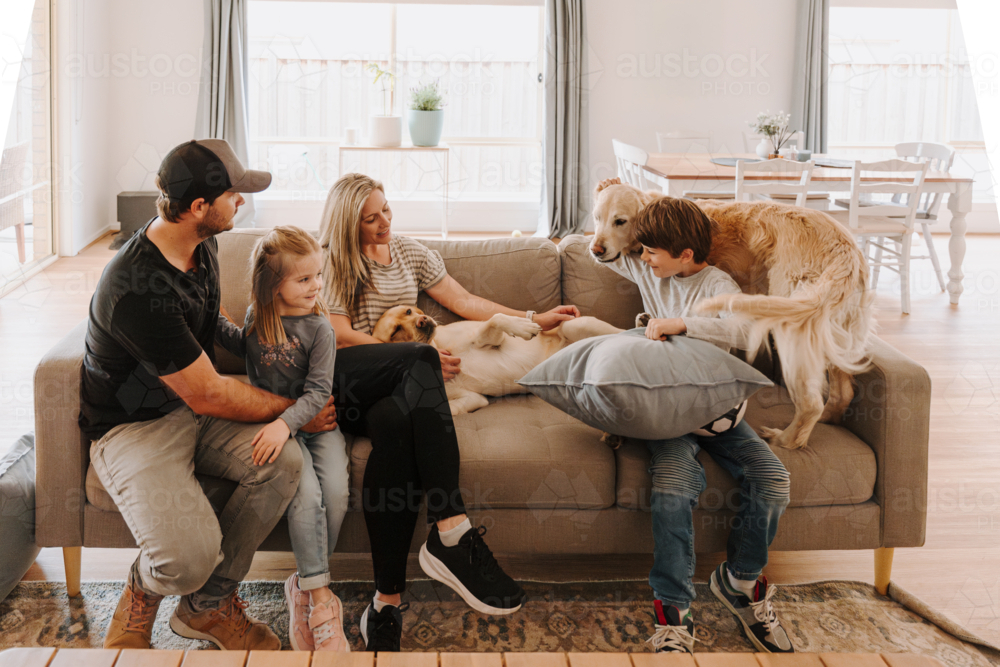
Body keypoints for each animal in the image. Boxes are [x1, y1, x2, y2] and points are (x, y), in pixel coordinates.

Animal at [372, 306, 620, 412]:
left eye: (409, 311)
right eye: (395, 332)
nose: (422, 320)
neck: (438, 348)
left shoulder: (491, 338)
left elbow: (496, 318)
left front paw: (523, 326)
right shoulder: (474, 398)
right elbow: (451, 408)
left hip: (575, 325)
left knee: (620, 332)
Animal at [588, 177, 872, 452]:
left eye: (620, 221)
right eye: (597, 218)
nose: (595, 250)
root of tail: (847, 250)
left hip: (791, 323)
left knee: (811, 403)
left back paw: (785, 440)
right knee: (842, 393)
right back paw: (826, 419)